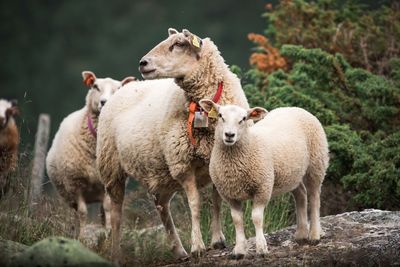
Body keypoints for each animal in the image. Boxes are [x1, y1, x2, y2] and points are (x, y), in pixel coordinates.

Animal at [46, 71, 135, 239]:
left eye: (119, 89)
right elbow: (82, 213)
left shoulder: (109, 184)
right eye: (95, 86)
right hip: (69, 195)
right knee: (76, 214)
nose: (104, 102)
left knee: (102, 212)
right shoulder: (75, 184)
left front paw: (108, 233)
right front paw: (81, 236)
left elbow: (107, 209)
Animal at [95, 28, 248, 260]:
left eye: (177, 44)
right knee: (116, 214)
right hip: (111, 167)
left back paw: (179, 250)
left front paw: (217, 240)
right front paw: (198, 246)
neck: (203, 109)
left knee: (161, 205)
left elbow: (217, 200)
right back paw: (116, 255)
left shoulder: (218, 159)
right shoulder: (182, 164)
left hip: (160, 172)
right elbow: (195, 204)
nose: (142, 63)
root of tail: (123, 88)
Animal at [198, 99, 330, 258]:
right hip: (291, 172)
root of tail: (295, 108)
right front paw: (239, 250)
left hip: (316, 164)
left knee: (314, 198)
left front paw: (261, 248)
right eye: (220, 116)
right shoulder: (230, 194)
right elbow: (237, 220)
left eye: (243, 119)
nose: (229, 135)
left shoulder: (262, 187)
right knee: (301, 195)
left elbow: (256, 217)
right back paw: (301, 234)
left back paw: (314, 235)